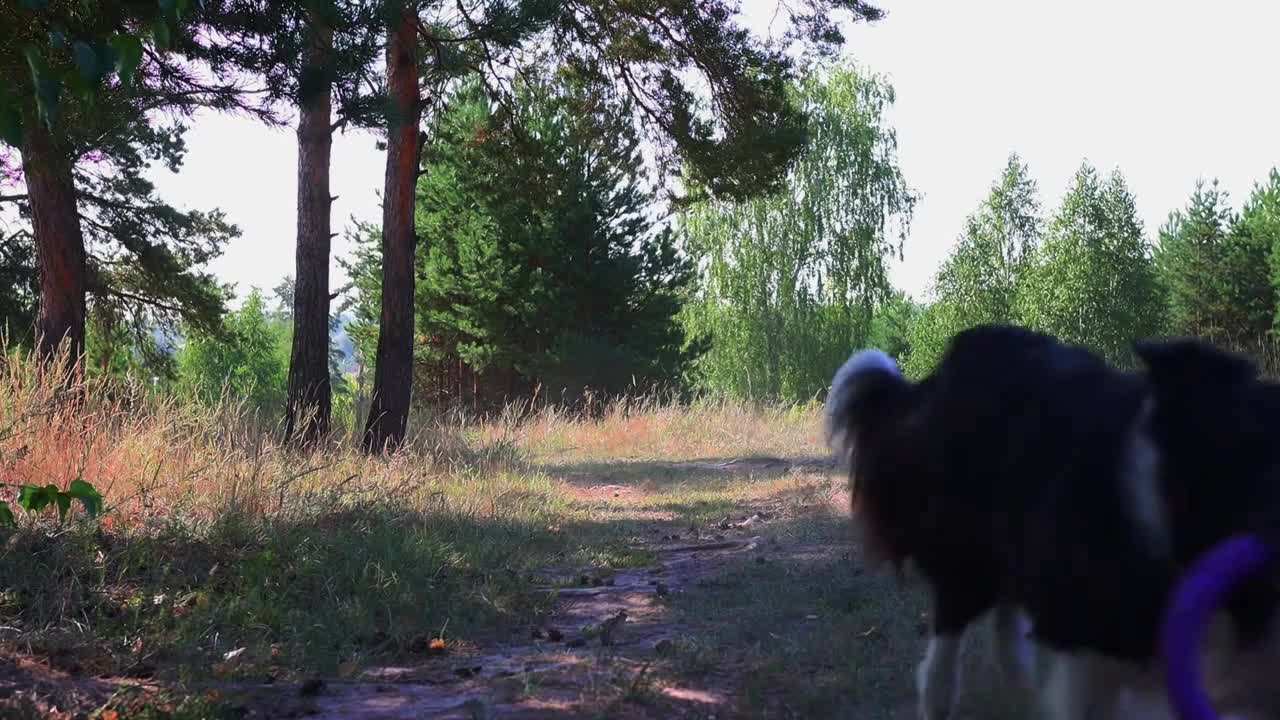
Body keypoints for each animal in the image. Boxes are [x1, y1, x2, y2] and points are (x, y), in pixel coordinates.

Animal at [824, 325, 1280, 717]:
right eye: (1250, 459)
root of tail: (939, 374)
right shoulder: (1083, 638)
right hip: (968, 549)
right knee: (950, 631)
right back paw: (940, 697)